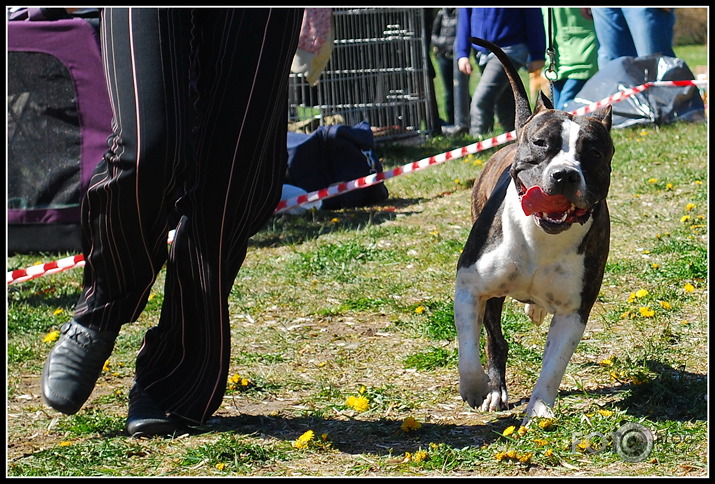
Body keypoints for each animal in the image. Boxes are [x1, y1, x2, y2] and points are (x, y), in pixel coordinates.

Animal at [456, 37, 612, 424]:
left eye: (594, 153)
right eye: (542, 143)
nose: (565, 174)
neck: (541, 236)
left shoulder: (574, 312)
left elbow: (554, 365)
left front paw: (540, 407)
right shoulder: (469, 286)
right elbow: (468, 349)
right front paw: (476, 387)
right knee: (495, 339)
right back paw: (494, 390)